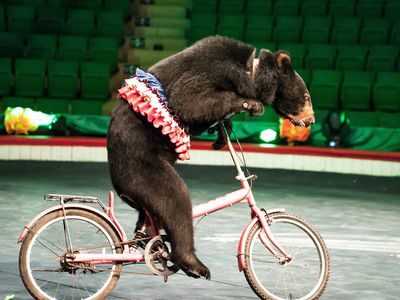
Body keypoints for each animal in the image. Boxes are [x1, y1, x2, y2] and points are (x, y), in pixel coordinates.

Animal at [108, 36, 314, 280]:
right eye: (306, 96)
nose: (311, 120)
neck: (251, 74)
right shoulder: (216, 69)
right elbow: (189, 100)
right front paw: (251, 104)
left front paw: (222, 135)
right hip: (140, 166)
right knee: (174, 200)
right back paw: (192, 262)